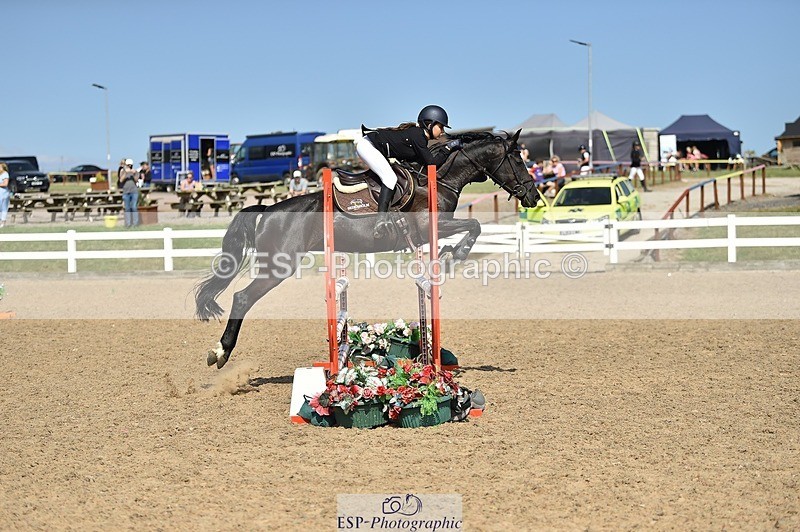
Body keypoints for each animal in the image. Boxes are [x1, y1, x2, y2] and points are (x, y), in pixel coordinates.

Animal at [195, 129, 537, 369]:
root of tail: (267, 210)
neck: (440, 178)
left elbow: (472, 227)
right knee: (242, 298)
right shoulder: (430, 227)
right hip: (279, 266)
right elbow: (475, 226)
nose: (534, 197)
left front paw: (448, 254)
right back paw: (220, 352)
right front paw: (456, 254)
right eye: (518, 160)